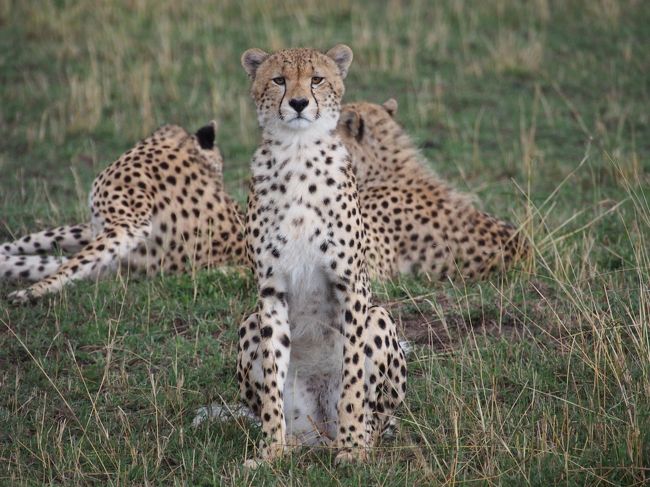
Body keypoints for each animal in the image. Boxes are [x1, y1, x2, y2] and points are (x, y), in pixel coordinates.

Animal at [0, 122, 246, 304]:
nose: (221, 187)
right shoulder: (102, 229)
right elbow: (39, 241)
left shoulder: (128, 226)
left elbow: (73, 262)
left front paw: (31, 291)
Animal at [233, 46, 404, 468]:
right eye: (278, 80)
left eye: (317, 79)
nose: (298, 103)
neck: (298, 152)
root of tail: (320, 431)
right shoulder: (270, 292)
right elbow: (272, 380)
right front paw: (271, 450)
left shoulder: (350, 286)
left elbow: (354, 375)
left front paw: (352, 447)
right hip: (247, 323)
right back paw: (293, 444)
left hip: (379, 316)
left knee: (374, 417)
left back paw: (355, 438)